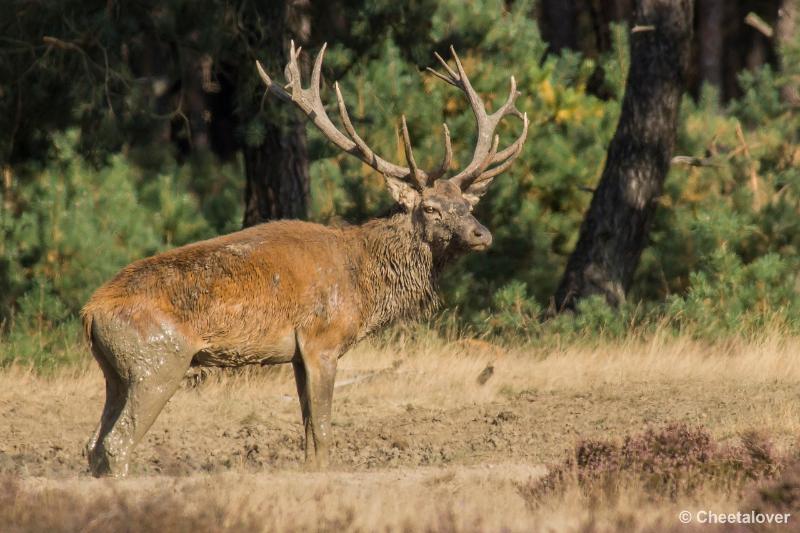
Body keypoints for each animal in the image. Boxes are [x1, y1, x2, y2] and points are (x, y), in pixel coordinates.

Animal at [81, 40, 528, 474]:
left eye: (466, 205)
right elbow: (325, 430)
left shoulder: (297, 355)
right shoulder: (321, 340)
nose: (482, 233)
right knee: (117, 444)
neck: (363, 287)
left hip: (115, 372)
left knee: (93, 445)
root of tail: (90, 312)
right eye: (432, 208)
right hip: (157, 361)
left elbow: (308, 429)